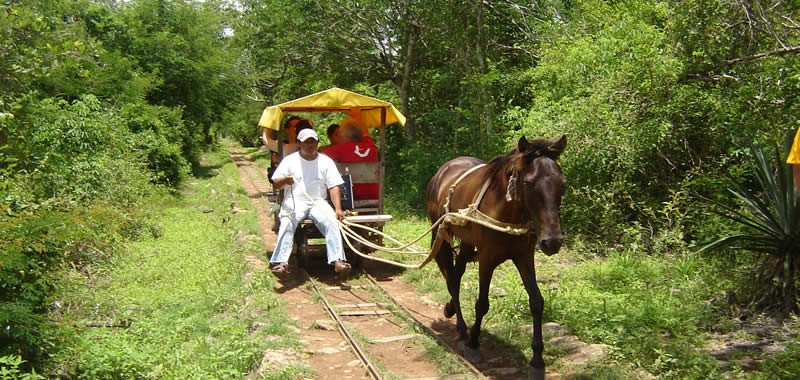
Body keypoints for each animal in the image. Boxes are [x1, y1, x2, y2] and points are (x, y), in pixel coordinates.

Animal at [424, 136, 568, 380]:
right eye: (528, 183)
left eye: (562, 184)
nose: (552, 241)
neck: (507, 212)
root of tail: (443, 169)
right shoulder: (487, 259)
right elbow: (482, 303)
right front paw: (473, 343)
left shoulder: (524, 257)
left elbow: (537, 302)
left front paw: (537, 360)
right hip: (442, 236)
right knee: (451, 277)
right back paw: (462, 328)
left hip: (467, 242)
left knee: (455, 276)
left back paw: (452, 310)